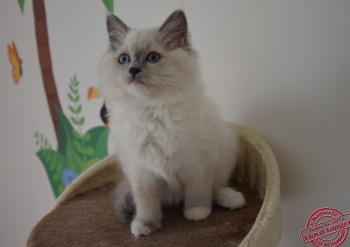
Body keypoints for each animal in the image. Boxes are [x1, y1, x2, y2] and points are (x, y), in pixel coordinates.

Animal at [98, 10, 246, 237]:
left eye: (153, 58)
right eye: (124, 59)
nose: (133, 70)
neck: (151, 112)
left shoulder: (198, 162)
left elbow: (199, 191)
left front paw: (197, 212)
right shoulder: (141, 171)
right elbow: (146, 202)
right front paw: (145, 224)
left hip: (226, 148)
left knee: (216, 186)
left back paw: (232, 199)